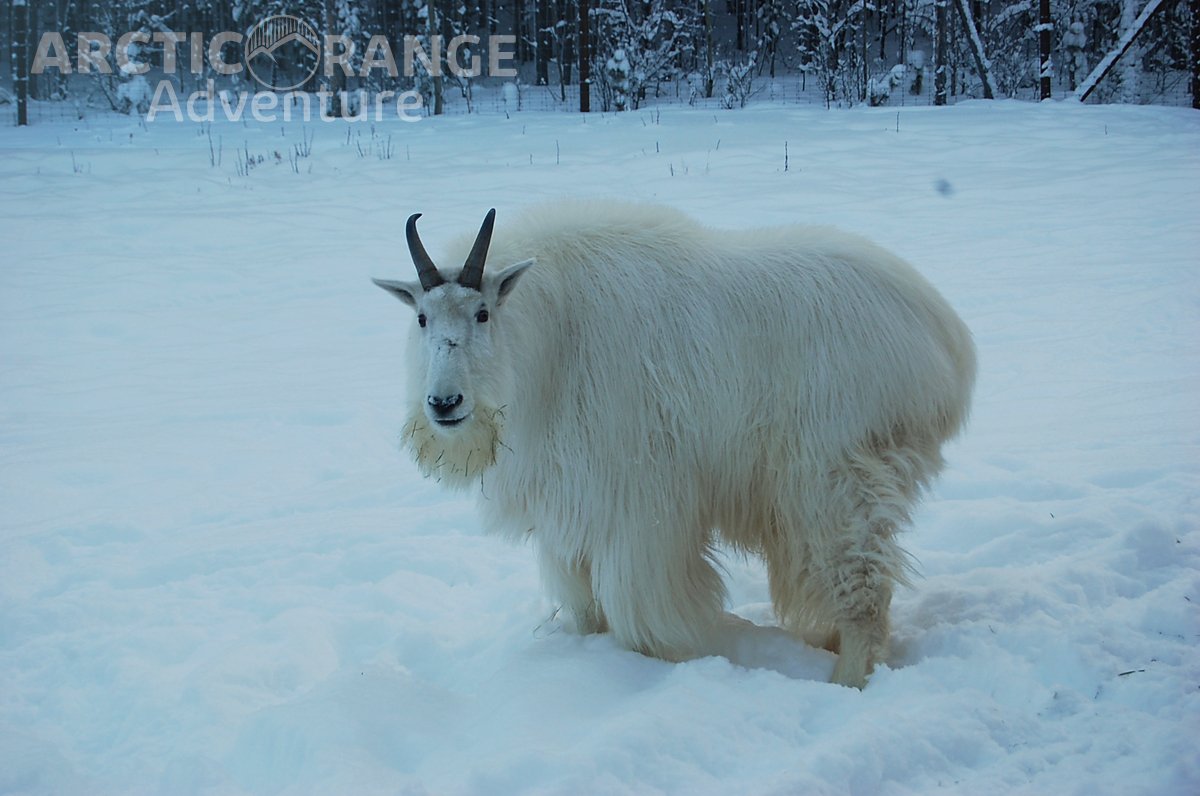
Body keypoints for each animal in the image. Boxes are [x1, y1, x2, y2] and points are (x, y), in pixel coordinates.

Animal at [374, 202, 974, 686]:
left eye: (482, 312)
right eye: (422, 317)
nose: (444, 404)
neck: (549, 341)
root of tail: (944, 337)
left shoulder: (638, 507)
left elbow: (637, 603)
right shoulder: (566, 510)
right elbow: (584, 605)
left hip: (837, 481)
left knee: (864, 590)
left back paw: (846, 683)